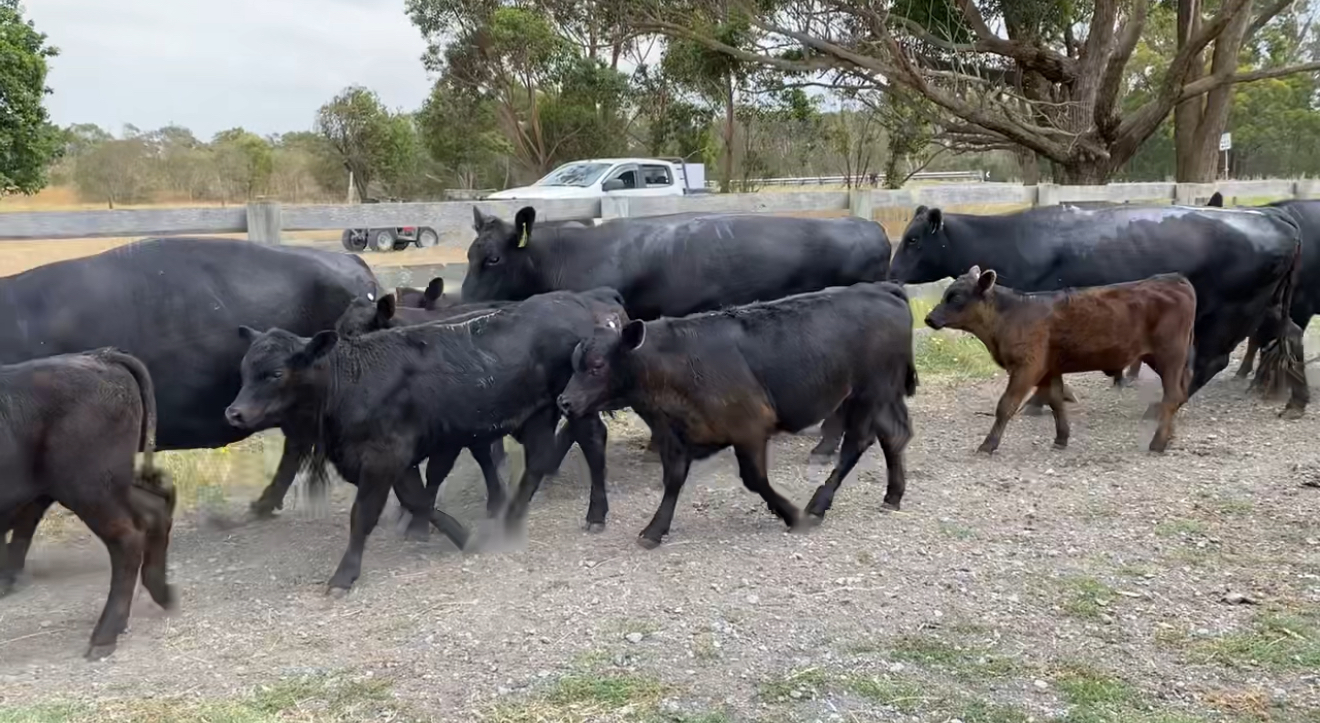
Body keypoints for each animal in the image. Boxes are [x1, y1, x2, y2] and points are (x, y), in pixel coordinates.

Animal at [1, 349, 177, 660]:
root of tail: (101, 356)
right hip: (109, 486)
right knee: (155, 510)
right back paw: (162, 593)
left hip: (89, 490)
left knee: (127, 540)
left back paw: (103, 637)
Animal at [224, 288, 628, 594]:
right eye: (244, 370)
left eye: (276, 373)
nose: (234, 412)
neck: (352, 380)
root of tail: (573, 300)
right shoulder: (396, 460)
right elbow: (418, 499)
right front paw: (465, 538)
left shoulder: (382, 458)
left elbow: (364, 515)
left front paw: (344, 574)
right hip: (538, 415)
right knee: (538, 461)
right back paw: (510, 520)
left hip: (575, 405)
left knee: (592, 444)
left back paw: (595, 513)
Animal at [556, 283, 917, 549]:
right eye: (574, 363)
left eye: (597, 365)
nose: (564, 402)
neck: (676, 364)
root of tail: (882, 290)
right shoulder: (674, 436)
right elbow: (673, 481)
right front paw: (655, 529)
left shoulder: (749, 428)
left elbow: (754, 479)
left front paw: (791, 515)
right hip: (882, 396)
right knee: (893, 436)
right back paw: (893, 495)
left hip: (868, 394)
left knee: (856, 444)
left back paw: (817, 506)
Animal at [889, 204, 1306, 417]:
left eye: (913, 240)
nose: (891, 274)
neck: (1012, 240)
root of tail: (1272, 217)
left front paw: (1038, 403)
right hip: (1269, 307)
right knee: (1292, 335)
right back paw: (1296, 402)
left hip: (1229, 311)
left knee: (1211, 360)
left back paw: (1163, 406)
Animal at [925, 268, 1196, 453]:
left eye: (956, 297)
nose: (929, 318)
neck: (1013, 312)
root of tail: (1173, 279)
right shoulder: (1049, 369)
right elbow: (1056, 402)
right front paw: (1061, 438)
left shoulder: (1027, 367)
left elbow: (1006, 405)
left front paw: (988, 444)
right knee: (1179, 393)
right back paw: (1169, 436)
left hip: (1169, 355)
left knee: (1172, 395)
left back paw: (1158, 443)